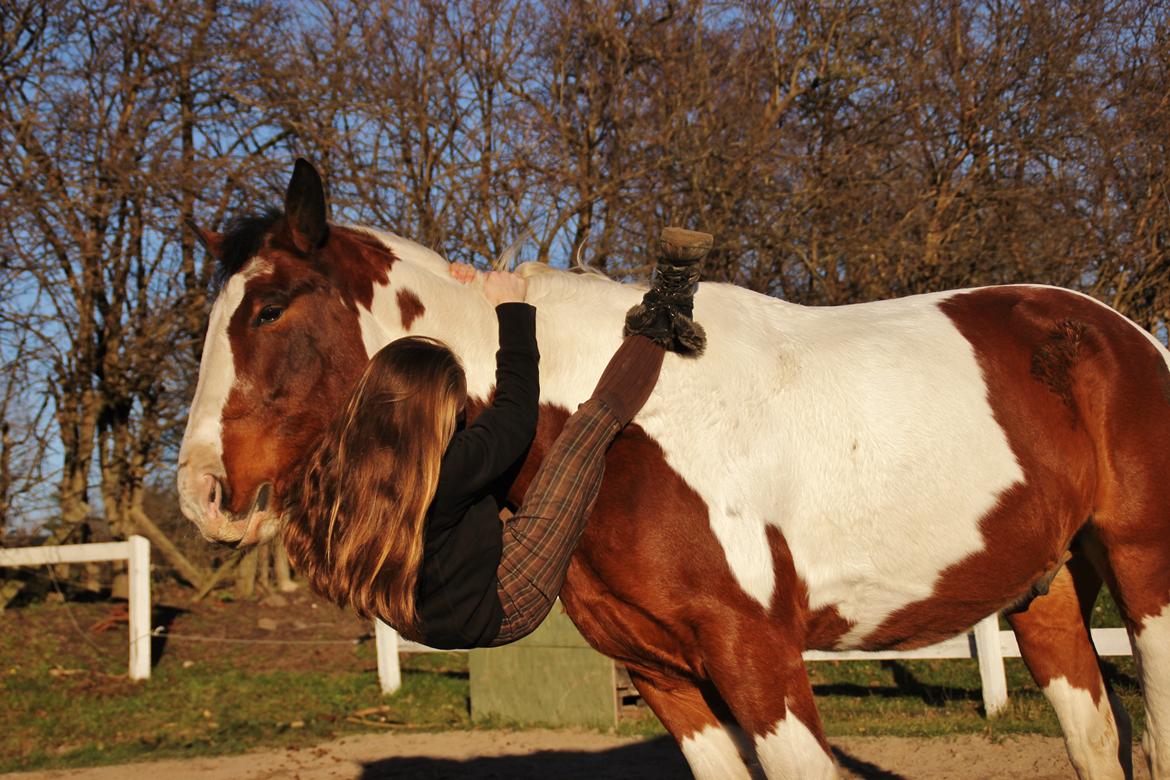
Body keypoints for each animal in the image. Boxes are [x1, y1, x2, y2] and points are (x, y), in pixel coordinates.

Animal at [177, 160, 1170, 780]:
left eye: (269, 308)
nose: (200, 491)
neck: (615, 422)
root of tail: (1123, 336)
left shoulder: (761, 665)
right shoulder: (665, 679)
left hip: (1146, 580)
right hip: (1044, 590)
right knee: (1096, 739)